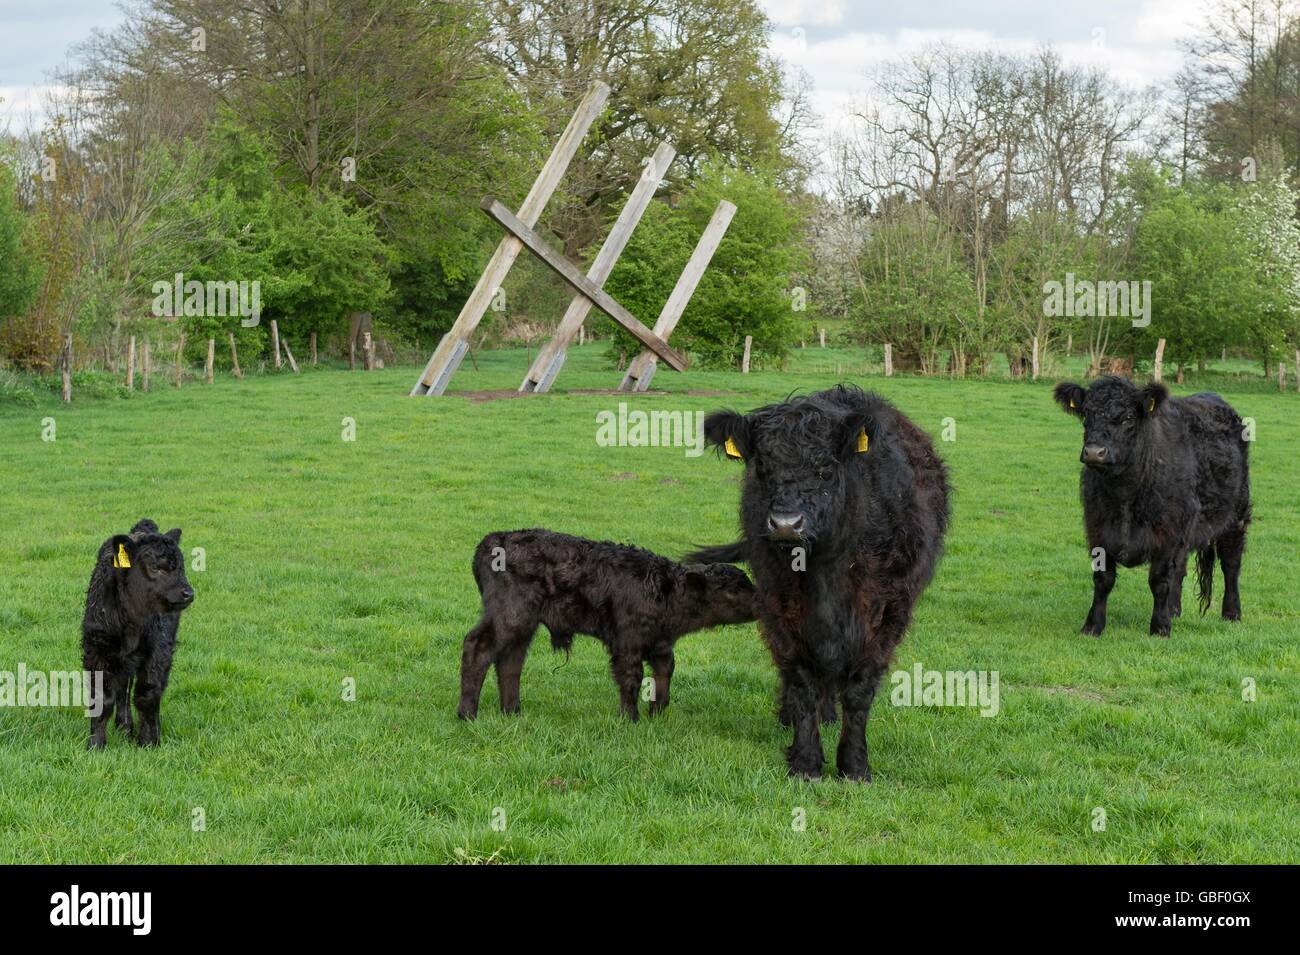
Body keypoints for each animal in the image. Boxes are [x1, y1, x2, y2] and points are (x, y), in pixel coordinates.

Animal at [80, 519, 192, 748]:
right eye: (155, 567)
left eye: (181, 566)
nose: (188, 593)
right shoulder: (97, 650)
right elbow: (102, 698)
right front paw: (95, 745)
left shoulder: (157, 650)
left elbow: (147, 694)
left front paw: (148, 742)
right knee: (123, 688)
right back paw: (124, 727)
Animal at [460, 530, 759, 717]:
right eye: (733, 589)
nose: (762, 599)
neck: (664, 590)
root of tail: (491, 540)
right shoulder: (627, 640)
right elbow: (632, 677)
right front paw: (630, 718)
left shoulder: (660, 643)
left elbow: (664, 672)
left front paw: (658, 713)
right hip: (509, 614)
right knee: (478, 647)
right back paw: (467, 714)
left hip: (524, 623)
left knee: (511, 661)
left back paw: (512, 712)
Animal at [686, 384, 951, 779]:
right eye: (762, 467)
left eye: (825, 469)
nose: (785, 524)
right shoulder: (777, 605)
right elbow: (801, 681)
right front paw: (806, 760)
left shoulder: (891, 611)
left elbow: (859, 688)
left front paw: (854, 765)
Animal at [1050, 376, 1253, 639]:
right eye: (1086, 414)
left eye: (1128, 417)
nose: (1094, 452)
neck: (1125, 495)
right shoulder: (1097, 528)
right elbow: (1103, 579)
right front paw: (1093, 626)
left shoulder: (1167, 534)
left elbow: (1158, 581)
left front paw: (1160, 627)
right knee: (1181, 569)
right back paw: (1174, 610)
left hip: (1236, 515)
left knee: (1231, 563)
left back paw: (1231, 613)